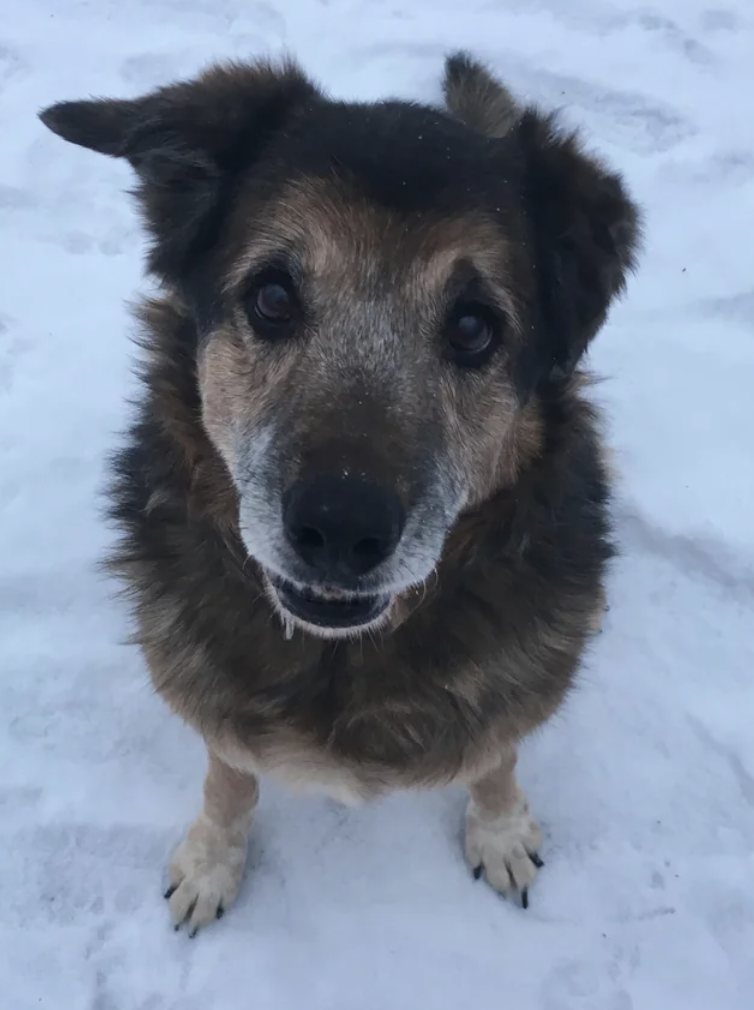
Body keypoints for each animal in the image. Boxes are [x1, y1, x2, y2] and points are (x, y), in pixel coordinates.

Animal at [39, 51, 641, 933]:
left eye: (474, 328)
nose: (341, 530)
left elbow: (496, 754)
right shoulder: (214, 697)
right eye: (272, 296)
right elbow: (230, 775)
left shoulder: (510, 694)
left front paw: (499, 831)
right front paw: (212, 861)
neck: (343, 653)